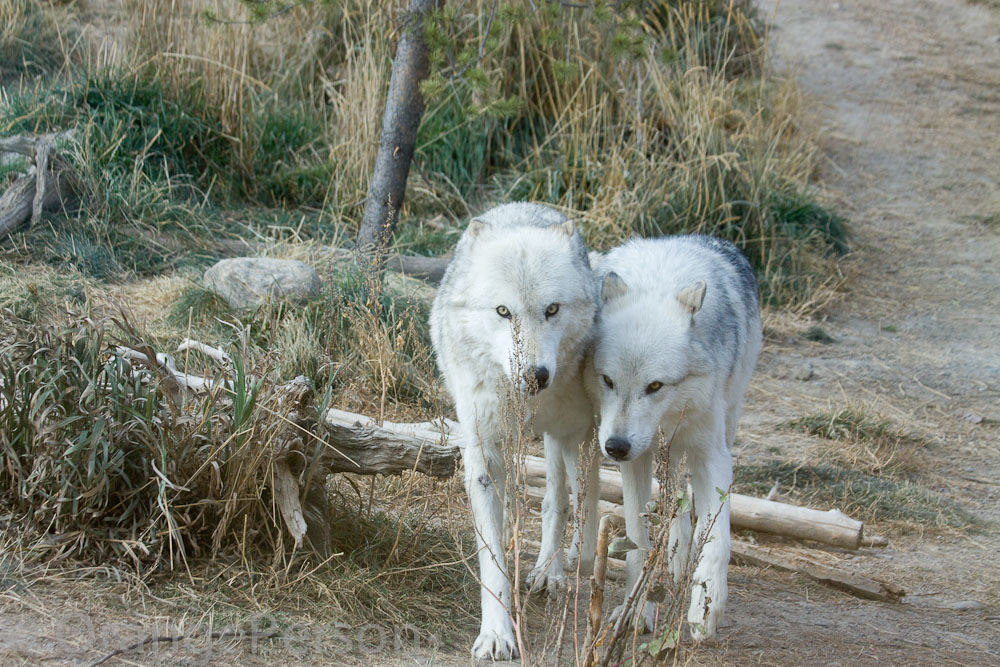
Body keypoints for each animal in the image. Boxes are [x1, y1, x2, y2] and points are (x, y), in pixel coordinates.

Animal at [430, 202, 601, 660]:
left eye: (553, 309)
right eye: (503, 312)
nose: (535, 376)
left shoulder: (579, 432)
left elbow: (578, 507)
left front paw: (568, 568)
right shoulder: (484, 448)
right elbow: (492, 555)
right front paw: (497, 633)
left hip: (563, 440)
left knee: (561, 500)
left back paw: (550, 572)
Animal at [586, 235, 762, 639]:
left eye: (655, 386)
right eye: (608, 380)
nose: (615, 448)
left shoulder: (711, 455)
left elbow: (718, 539)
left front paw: (704, 610)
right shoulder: (636, 461)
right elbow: (637, 538)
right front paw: (637, 611)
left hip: (724, 424)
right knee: (674, 499)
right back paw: (676, 557)